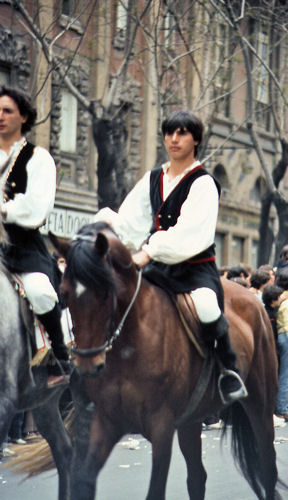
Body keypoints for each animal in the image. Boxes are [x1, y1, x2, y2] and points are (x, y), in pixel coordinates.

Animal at [50, 223, 282, 500]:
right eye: (64, 293)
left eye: (106, 292)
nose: (87, 365)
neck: (129, 347)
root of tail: (254, 301)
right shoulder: (107, 421)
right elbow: (84, 481)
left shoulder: (161, 427)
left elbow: (156, 490)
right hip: (191, 420)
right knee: (197, 477)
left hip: (260, 403)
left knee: (268, 465)